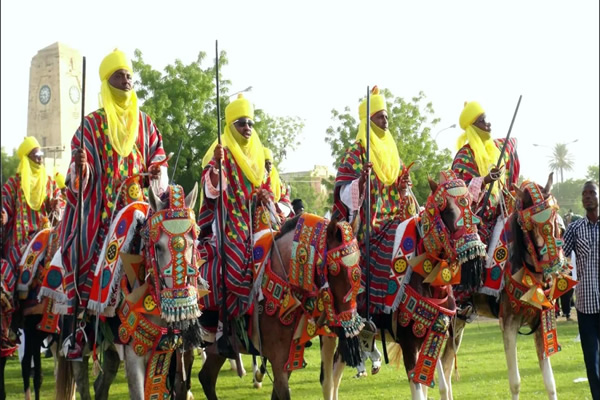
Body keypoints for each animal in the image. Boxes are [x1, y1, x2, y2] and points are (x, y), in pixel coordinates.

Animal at [199, 211, 364, 398]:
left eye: (358, 265)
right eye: (333, 269)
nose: (349, 328)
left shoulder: (289, 358)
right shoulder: (278, 360)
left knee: (206, 377)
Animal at [326, 170, 490, 400]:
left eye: (472, 208)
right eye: (446, 210)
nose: (475, 252)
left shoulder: (435, 336)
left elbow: (440, 385)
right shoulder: (409, 344)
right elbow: (419, 391)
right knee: (332, 376)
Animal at [436, 174, 568, 400]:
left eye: (555, 214)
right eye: (529, 225)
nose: (554, 262)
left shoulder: (540, 323)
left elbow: (550, 383)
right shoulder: (508, 322)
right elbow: (515, 382)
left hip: (458, 321)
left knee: (446, 364)